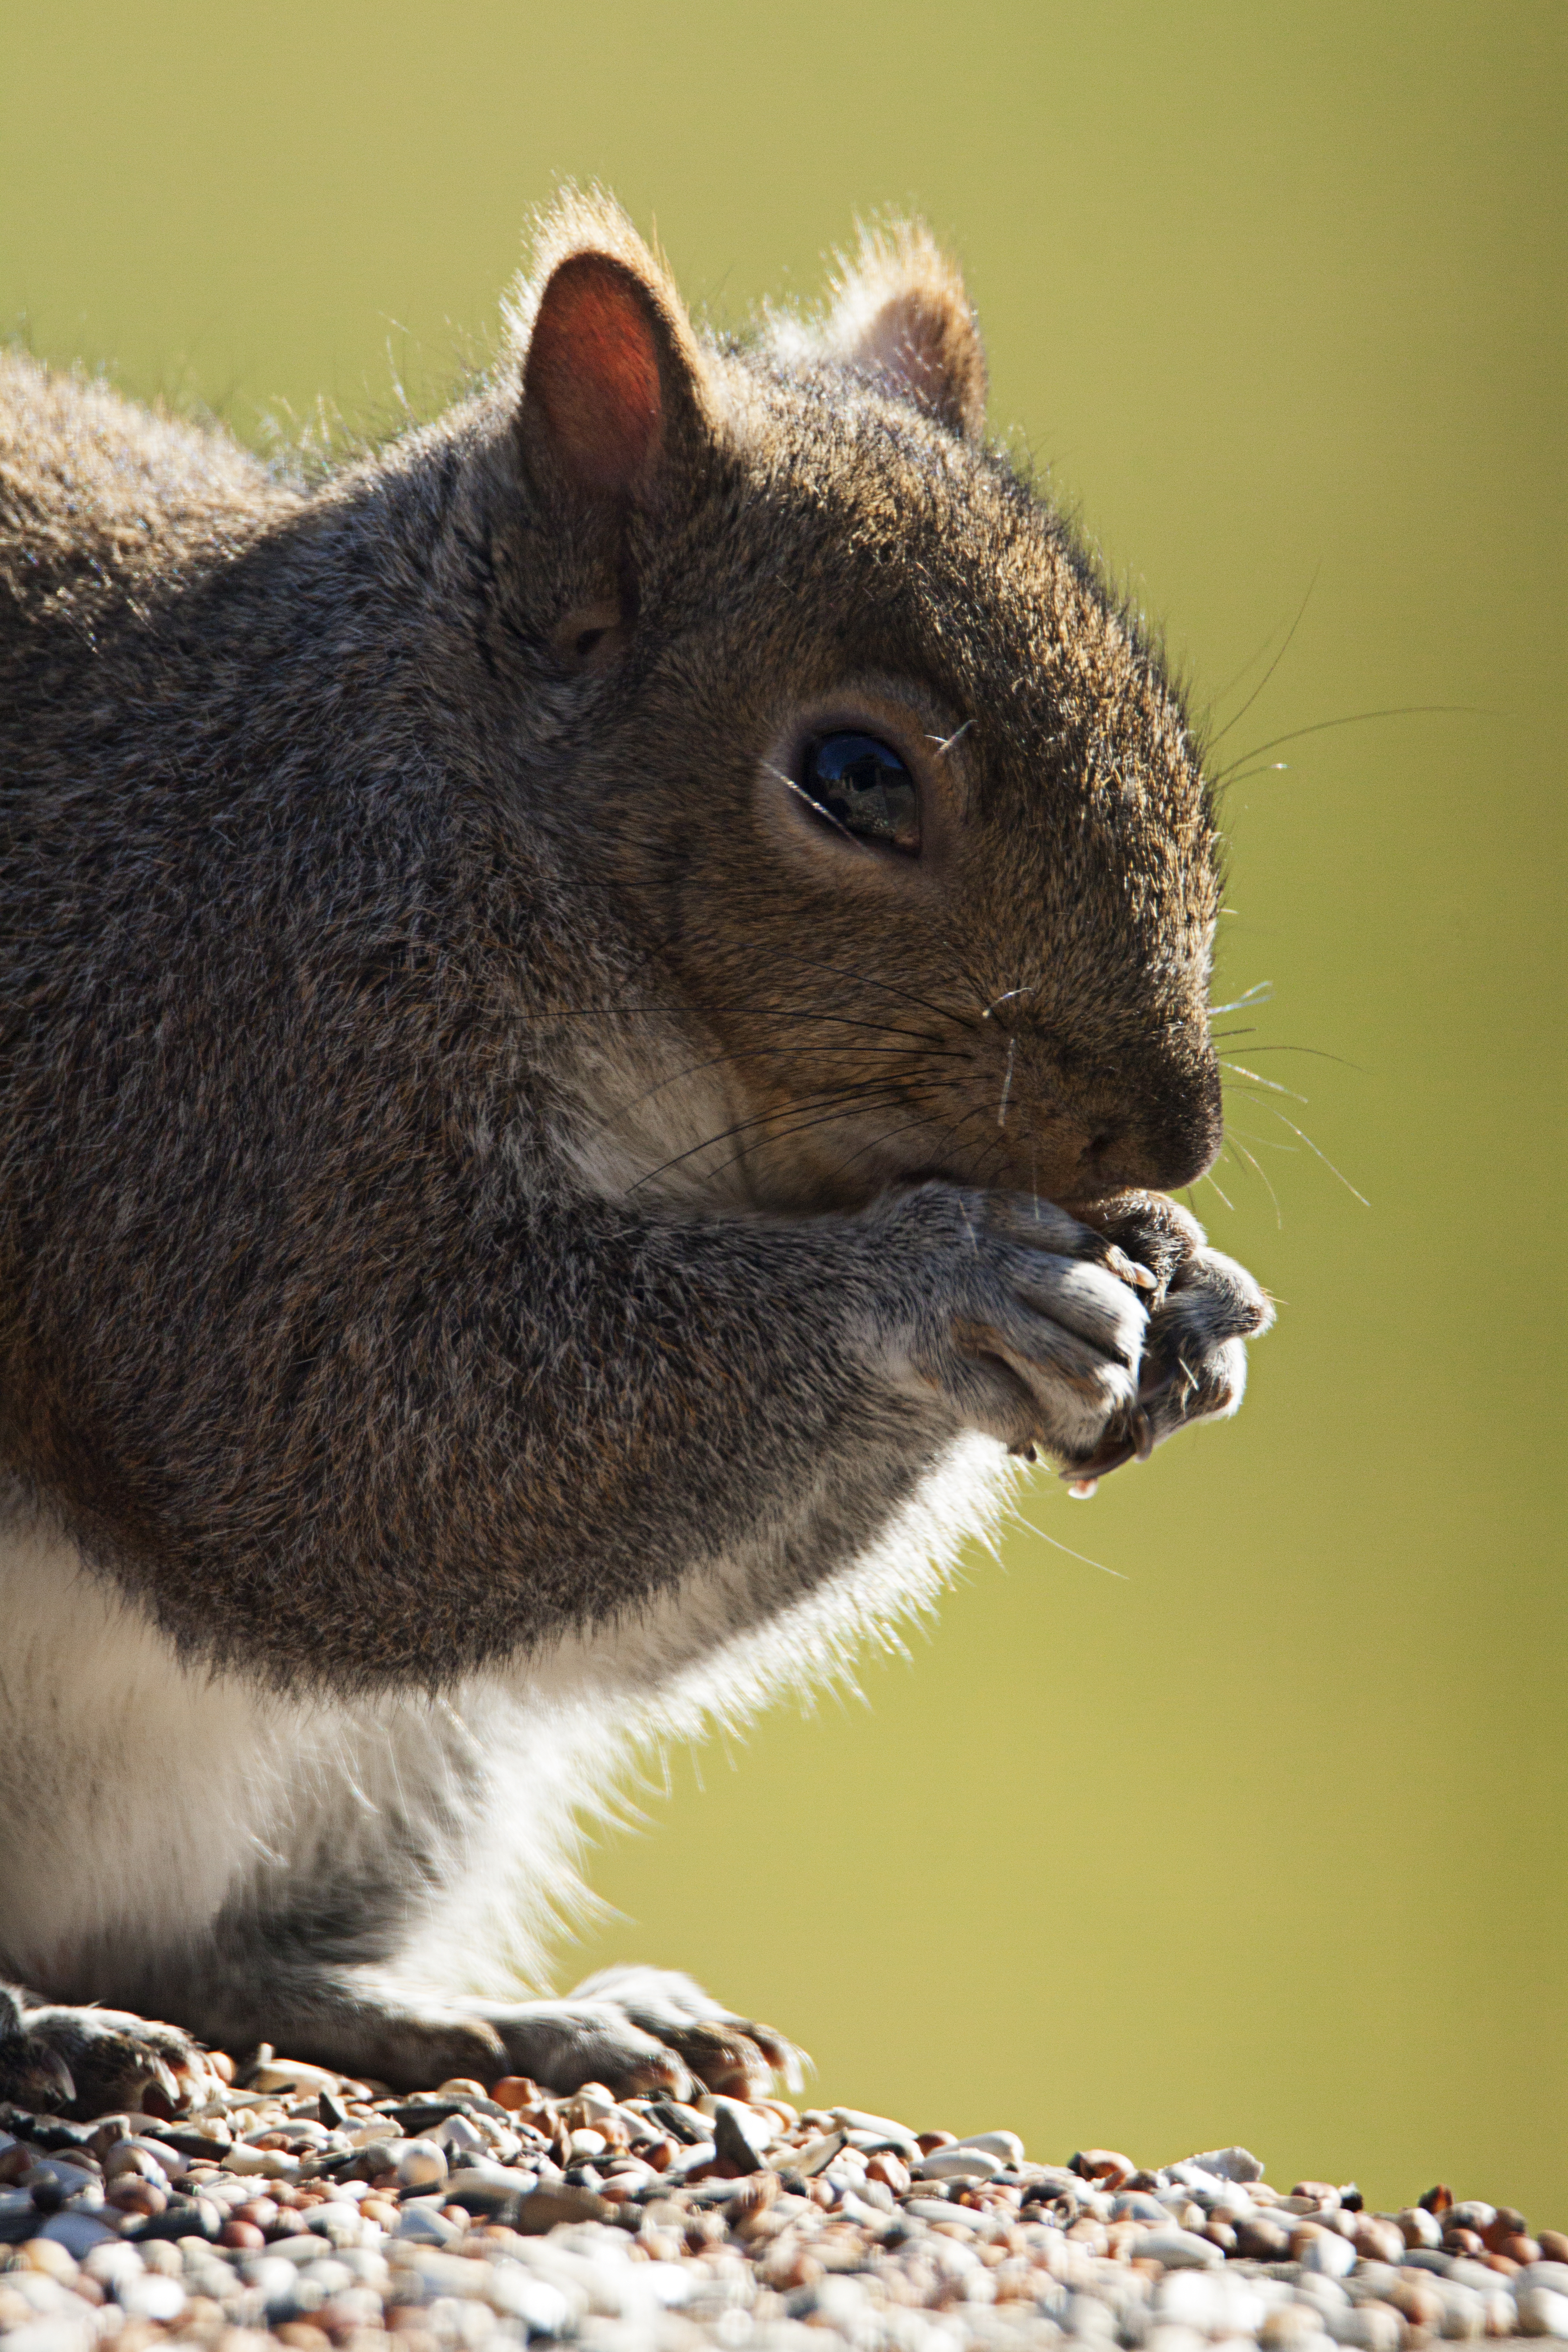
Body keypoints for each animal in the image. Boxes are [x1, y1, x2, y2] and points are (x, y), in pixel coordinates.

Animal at [0, 191, 1271, 2117]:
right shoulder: (212, 1065)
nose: (1174, 1136)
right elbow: (338, 1461)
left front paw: (1182, 1290)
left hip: (394, 1784)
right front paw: (947, 1284)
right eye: (854, 778)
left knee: (194, 1960)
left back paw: (469, 2016)